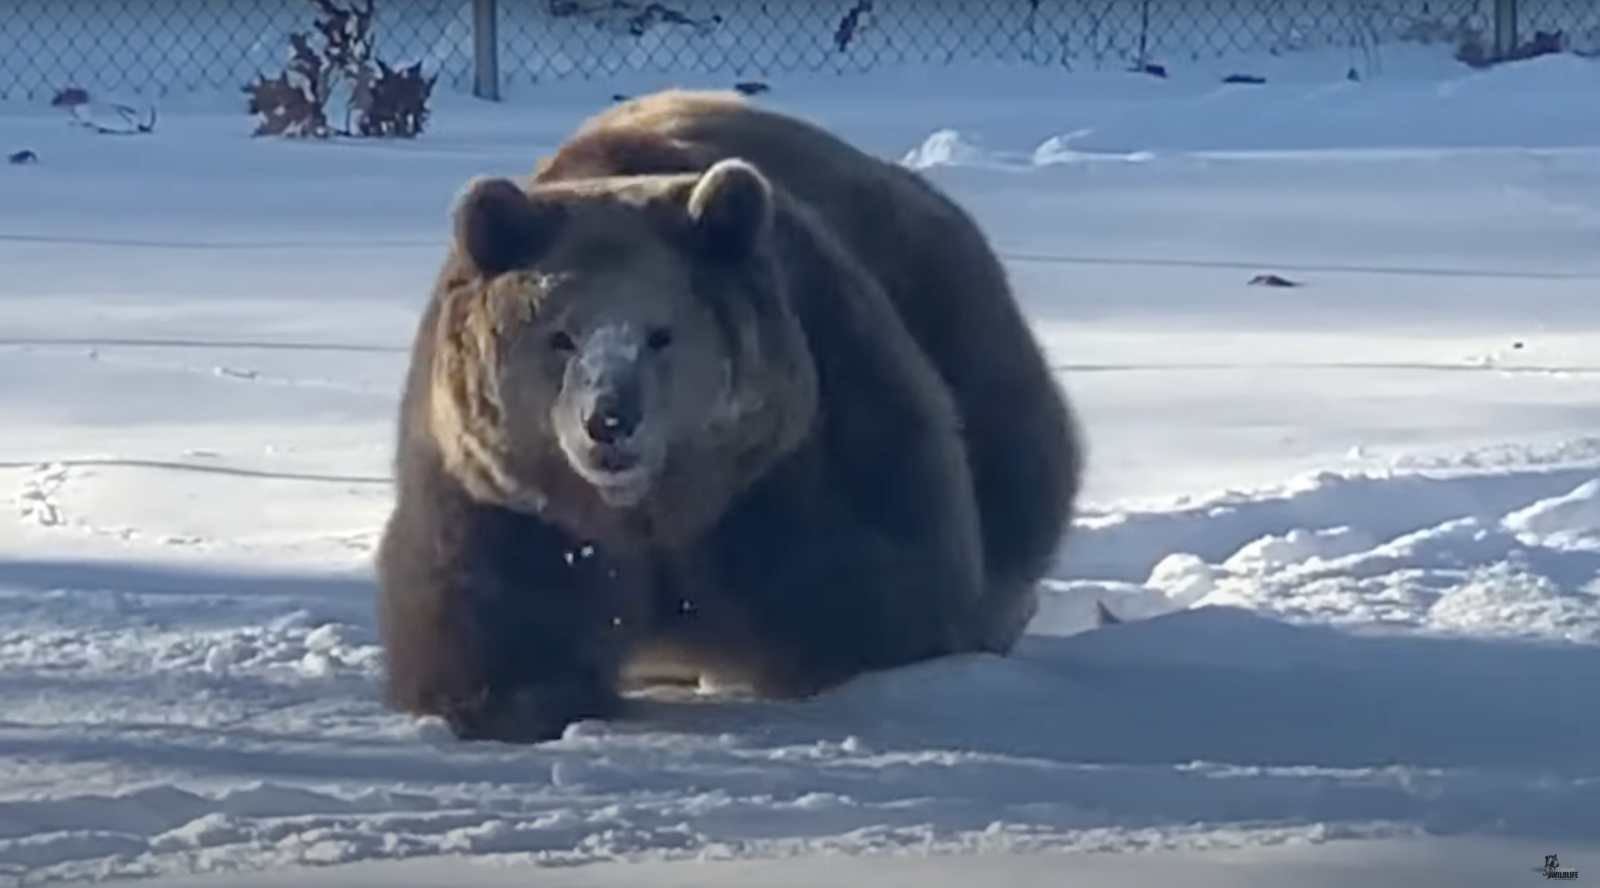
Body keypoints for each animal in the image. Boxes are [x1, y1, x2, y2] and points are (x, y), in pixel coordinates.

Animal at [374, 89, 1084, 744]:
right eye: (560, 336)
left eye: (661, 334)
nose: (610, 420)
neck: (652, 512)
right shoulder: (504, 490)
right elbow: (496, 619)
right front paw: (517, 701)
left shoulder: (793, 460)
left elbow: (871, 580)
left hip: (962, 335)